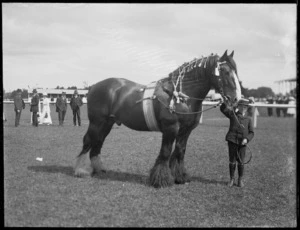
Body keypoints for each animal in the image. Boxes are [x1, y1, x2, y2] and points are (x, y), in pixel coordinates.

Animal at [74, 49, 241, 187]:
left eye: (236, 71)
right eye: (224, 71)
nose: (235, 99)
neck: (181, 95)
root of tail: (93, 87)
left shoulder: (185, 131)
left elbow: (180, 151)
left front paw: (180, 176)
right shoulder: (170, 128)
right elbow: (166, 152)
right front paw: (161, 179)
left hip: (107, 123)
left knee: (98, 142)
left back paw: (99, 169)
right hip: (97, 122)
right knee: (88, 141)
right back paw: (80, 170)